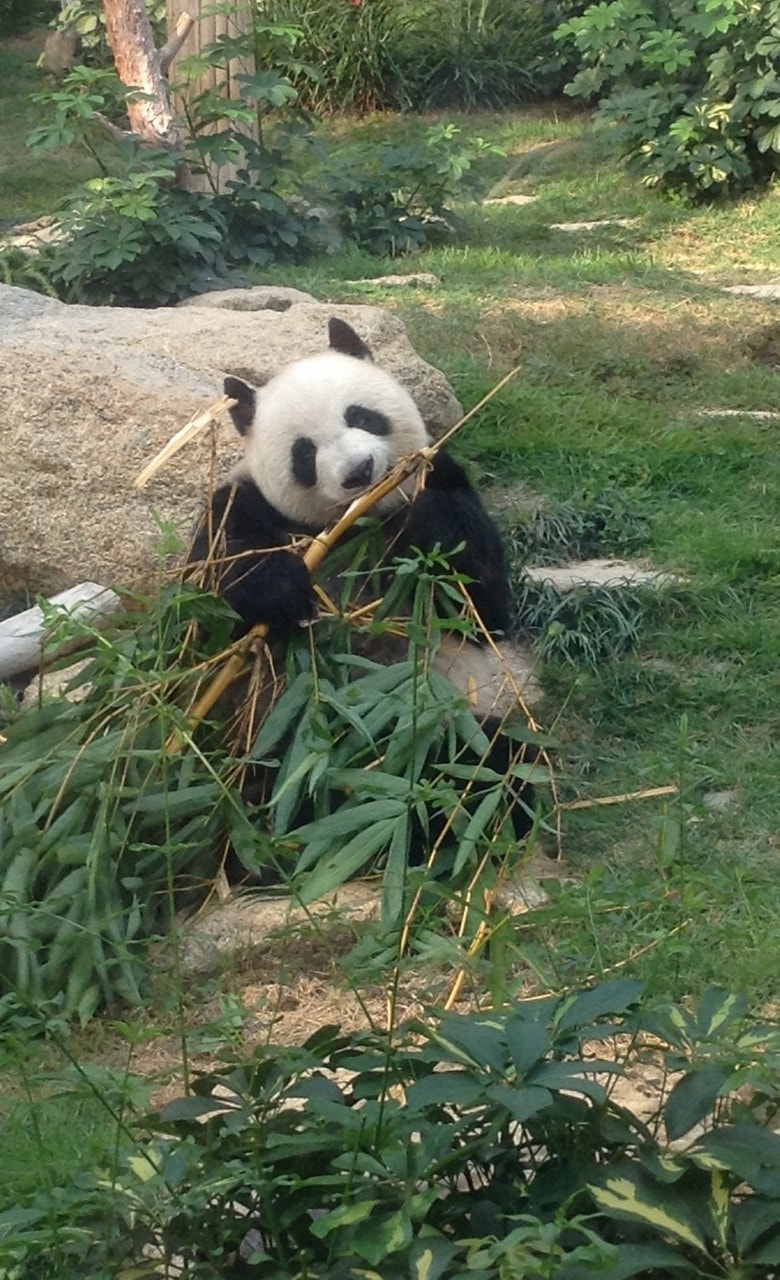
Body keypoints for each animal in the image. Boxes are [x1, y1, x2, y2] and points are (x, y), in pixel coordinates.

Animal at [188, 316, 539, 865]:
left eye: (362, 416)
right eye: (304, 453)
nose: (359, 472)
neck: (358, 525)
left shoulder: (439, 479)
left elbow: (485, 610)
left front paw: (431, 528)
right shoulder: (243, 503)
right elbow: (216, 588)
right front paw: (283, 591)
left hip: (453, 706)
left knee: (485, 759)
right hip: (260, 738)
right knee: (269, 779)